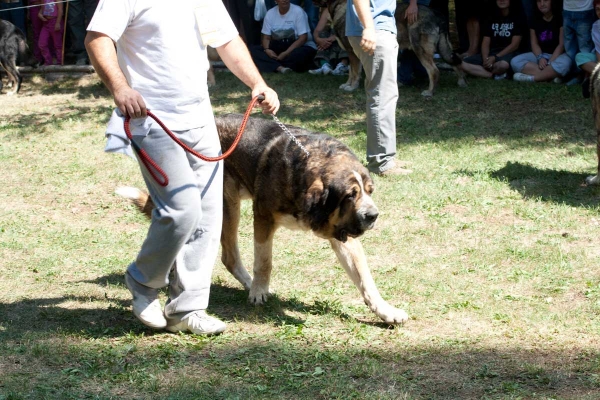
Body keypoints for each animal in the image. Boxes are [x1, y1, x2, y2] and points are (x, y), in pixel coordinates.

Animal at [120, 113, 412, 324]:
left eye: (369, 191)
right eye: (350, 195)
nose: (372, 215)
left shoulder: (342, 232)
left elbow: (365, 278)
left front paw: (385, 310)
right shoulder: (263, 218)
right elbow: (264, 261)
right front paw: (259, 290)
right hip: (226, 205)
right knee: (228, 254)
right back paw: (248, 284)